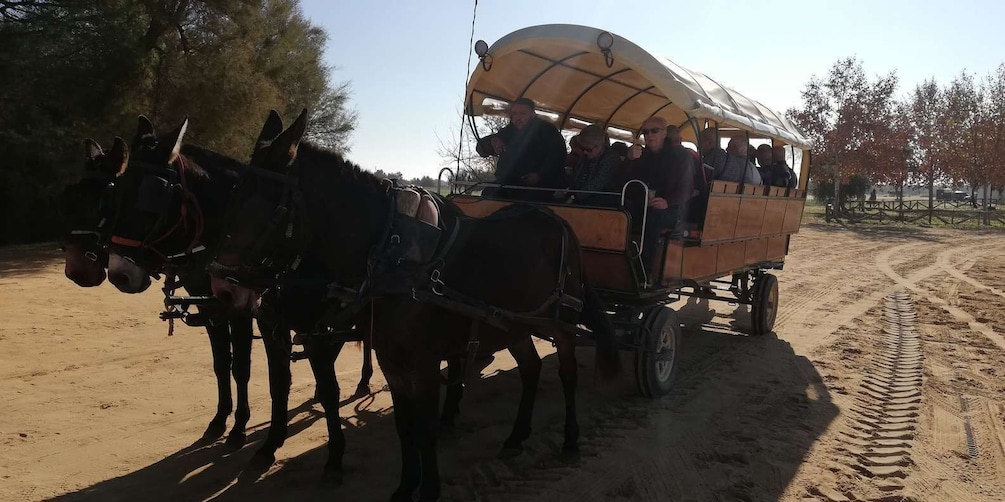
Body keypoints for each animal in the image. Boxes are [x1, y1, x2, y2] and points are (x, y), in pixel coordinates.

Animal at [212, 110, 619, 501]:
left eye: (266, 203)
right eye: (231, 195)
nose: (222, 289)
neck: (391, 254)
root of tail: (556, 220)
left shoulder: (423, 364)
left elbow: (425, 430)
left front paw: (429, 489)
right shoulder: (391, 361)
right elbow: (404, 427)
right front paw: (406, 486)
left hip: (561, 323)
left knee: (567, 373)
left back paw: (570, 439)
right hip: (512, 323)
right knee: (531, 368)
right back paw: (517, 436)